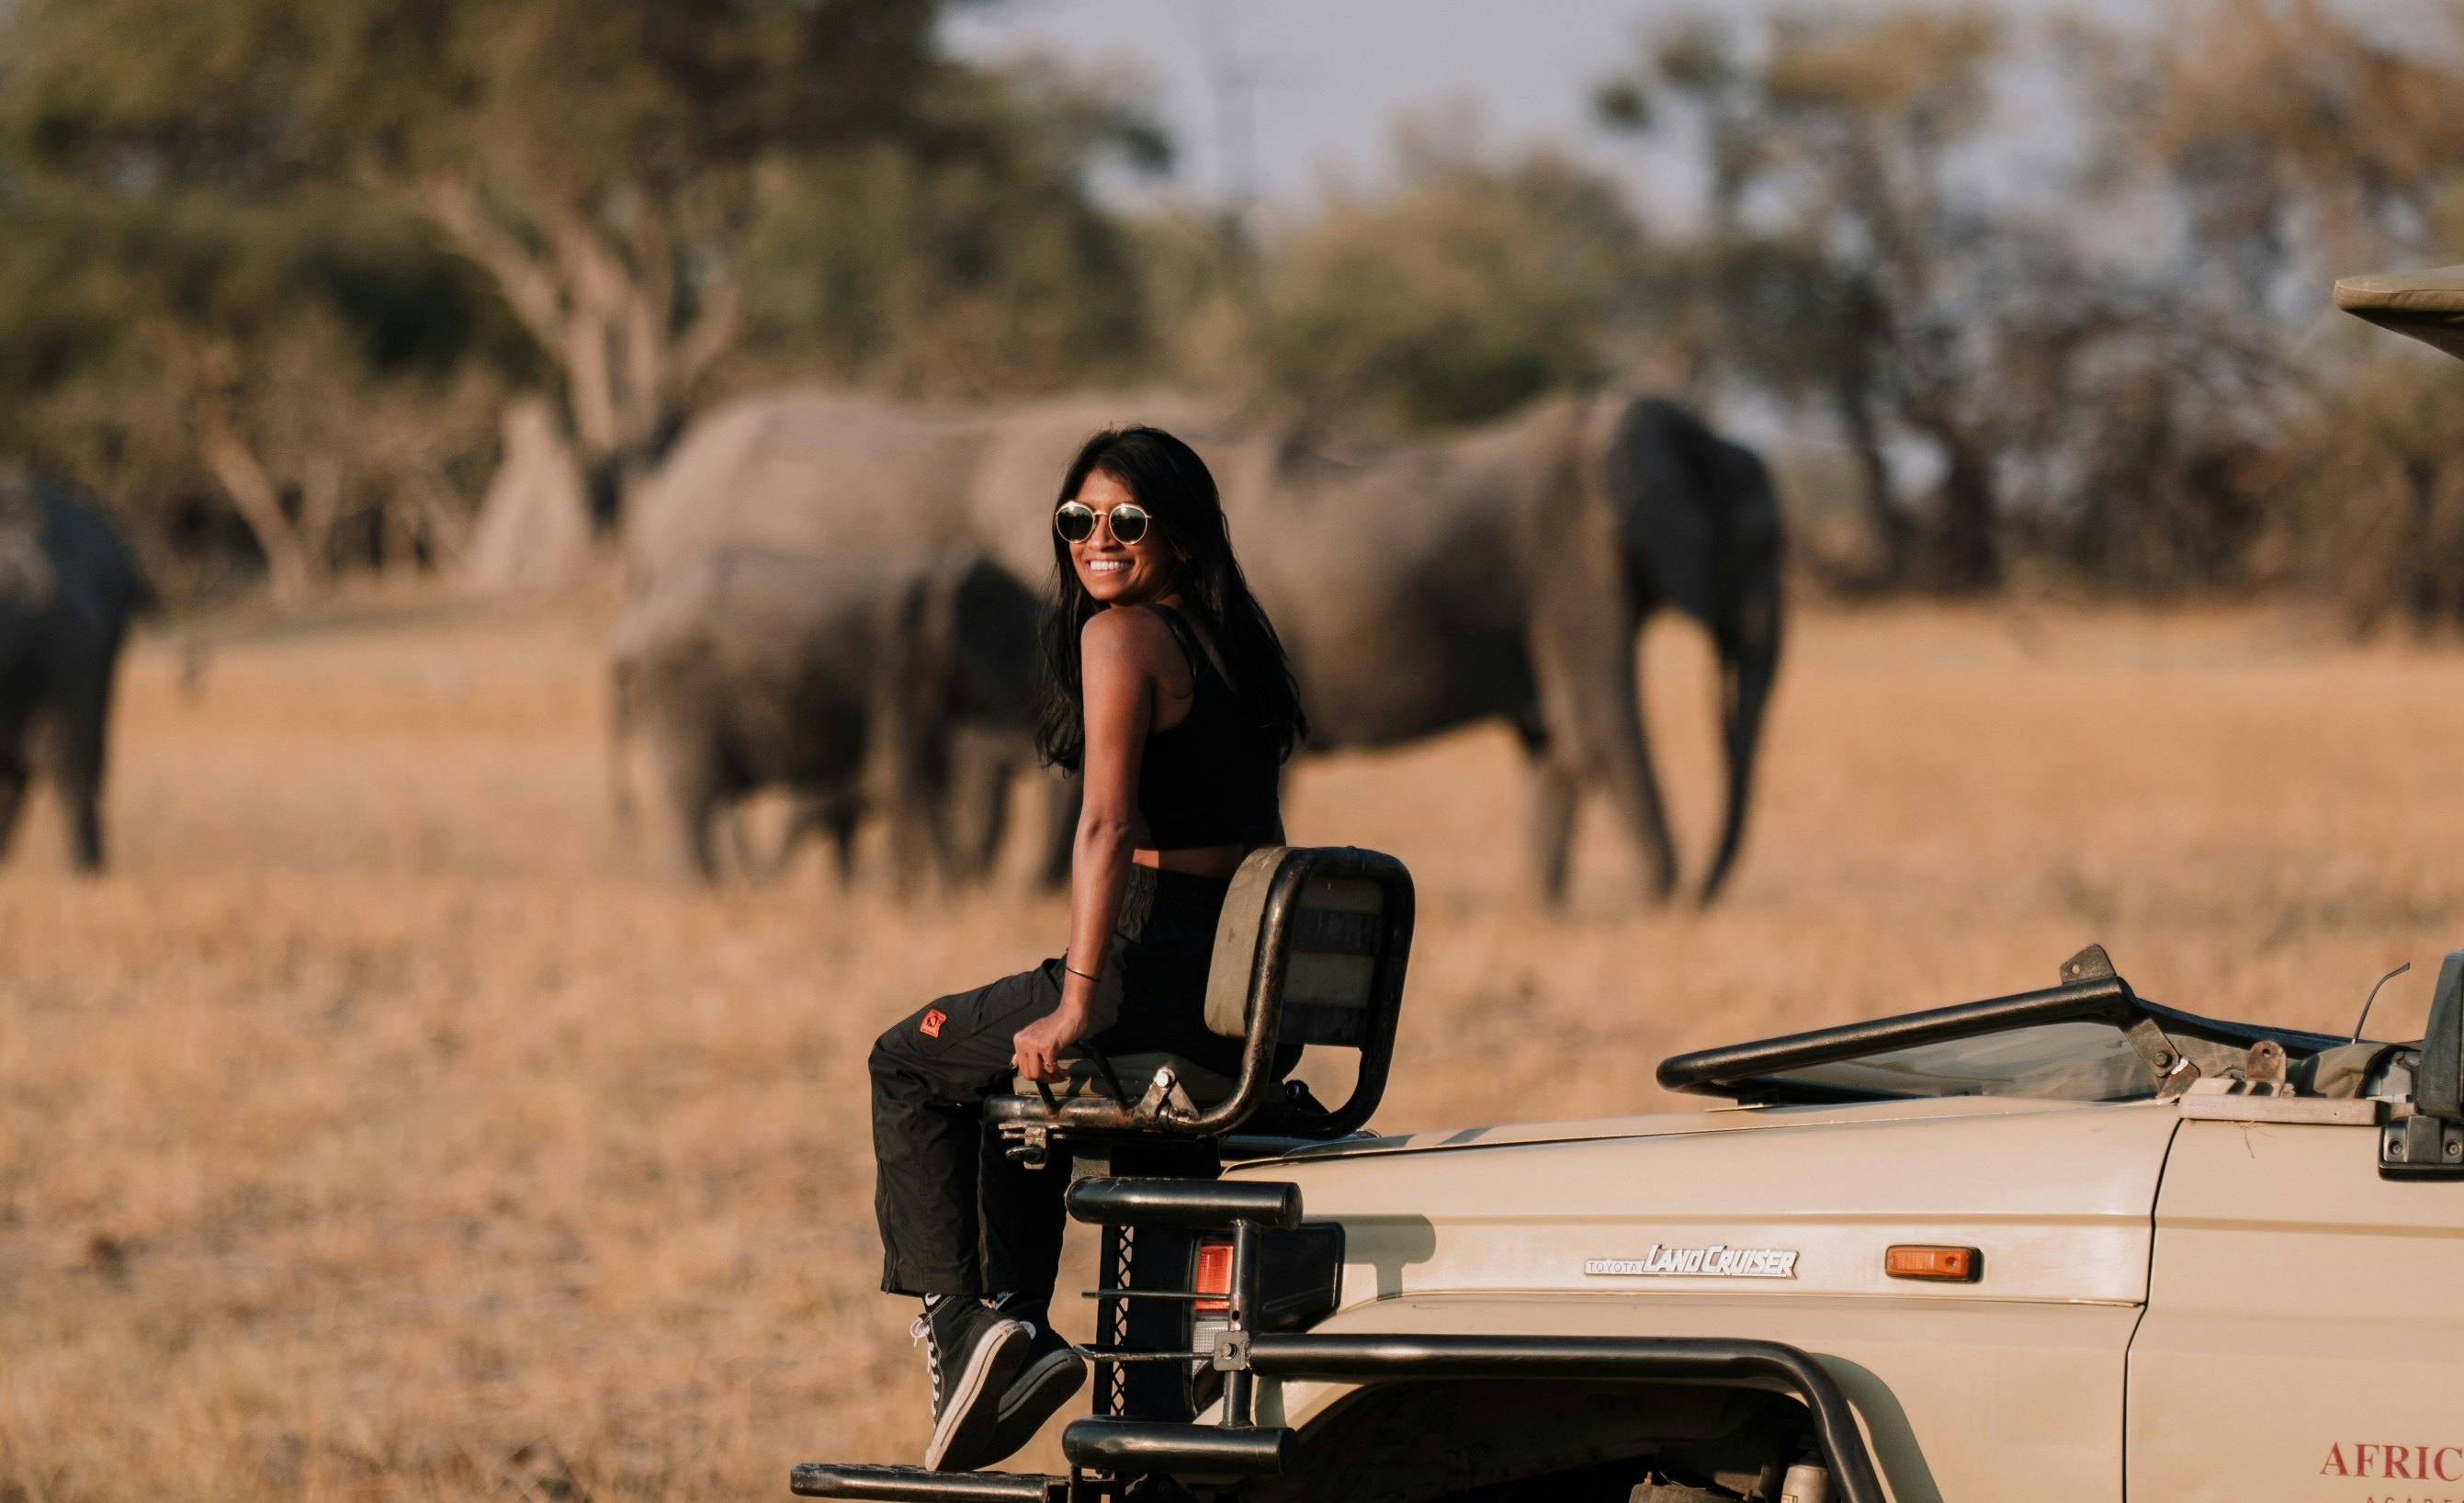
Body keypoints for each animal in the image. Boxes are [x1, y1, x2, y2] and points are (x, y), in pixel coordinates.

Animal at [610, 547, 1054, 885]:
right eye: (1033, 648)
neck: (948, 565)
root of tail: (631, 631)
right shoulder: (904, 662)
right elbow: (898, 776)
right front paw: (945, 897)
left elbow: (916, 776)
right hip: (680, 689)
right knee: (696, 794)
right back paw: (707, 894)